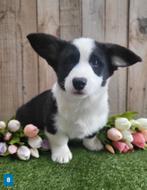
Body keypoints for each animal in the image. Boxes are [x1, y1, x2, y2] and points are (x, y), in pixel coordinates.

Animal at [15, 33, 141, 163]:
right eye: (68, 62)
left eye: (96, 63)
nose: (79, 82)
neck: (81, 103)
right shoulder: (53, 125)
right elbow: (60, 140)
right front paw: (62, 154)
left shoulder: (96, 122)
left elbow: (91, 135)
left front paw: (93, 144)